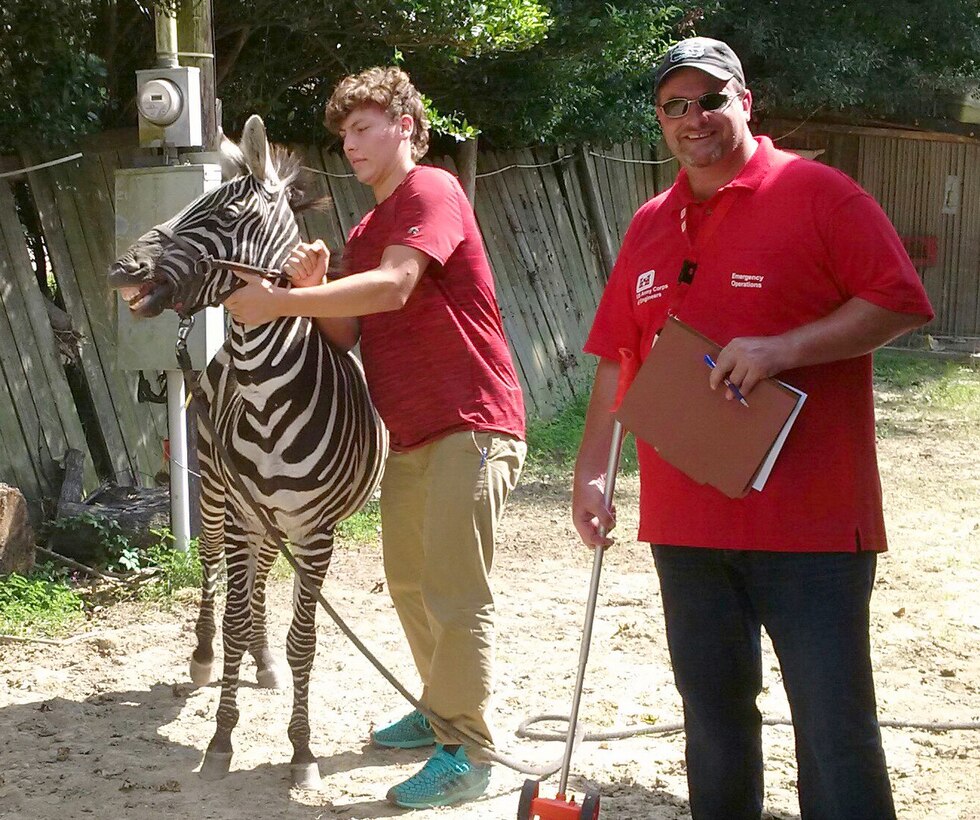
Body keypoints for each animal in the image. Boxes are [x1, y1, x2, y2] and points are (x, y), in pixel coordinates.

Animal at [104, 113, 386, 788]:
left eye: (226, 214)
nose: (122, 268)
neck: (266, 395)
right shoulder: (238, 513)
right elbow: (232, 617)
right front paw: (222, 738)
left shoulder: (315, 533)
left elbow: (303, 642)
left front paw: (302, 750)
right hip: (215, 496)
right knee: (216, 571)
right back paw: (206, 657)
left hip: (267, 520)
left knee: (256, 578)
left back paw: (263, 661)